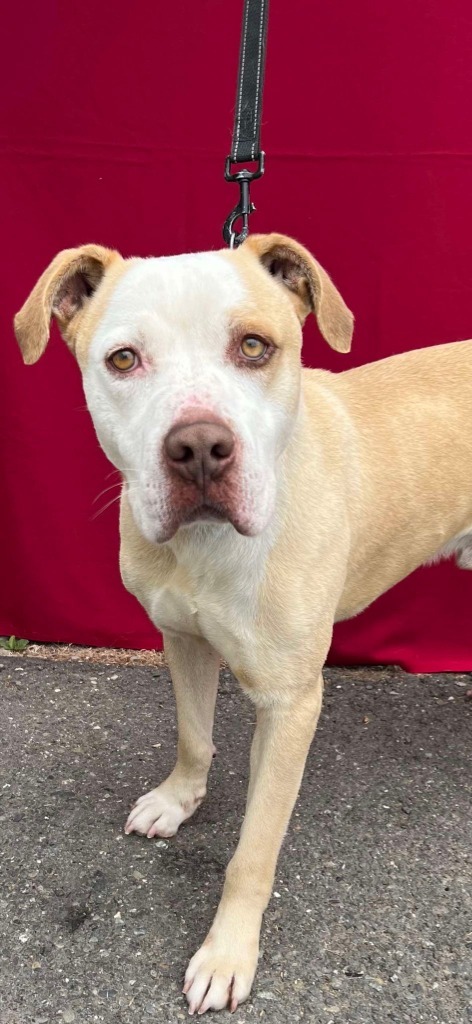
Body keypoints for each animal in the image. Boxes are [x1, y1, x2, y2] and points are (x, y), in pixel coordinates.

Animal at [13, 234, 470, 1015]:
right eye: (123, 359)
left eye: (254, 346)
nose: (198, 447)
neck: (206, 548)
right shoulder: (184, 641)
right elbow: (194, 738)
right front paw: (177, 802)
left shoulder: (290, 705)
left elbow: (252, 854)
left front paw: (227, 954)